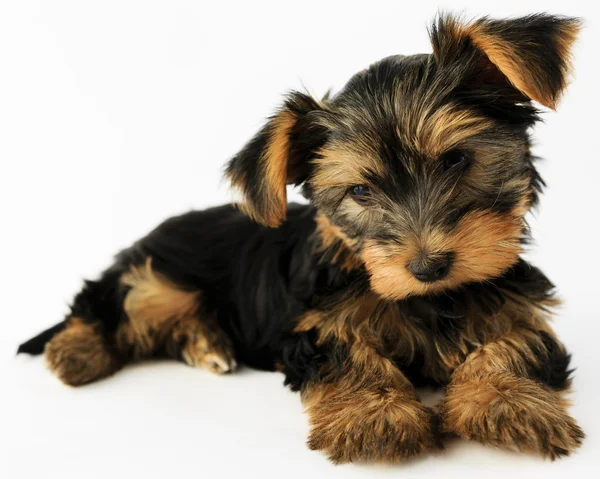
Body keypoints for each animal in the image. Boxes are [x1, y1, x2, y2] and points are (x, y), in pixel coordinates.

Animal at [19, 14, 584, 464]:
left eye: (455, 160)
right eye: (361, 191)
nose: (428, 268)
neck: (431, 299)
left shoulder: (520, 305)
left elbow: (514, 342)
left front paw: (505, 400)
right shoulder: (311, 325)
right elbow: (349, 353)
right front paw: (375, 417)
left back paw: (208, 345)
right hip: (159, 275)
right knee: (107, 302)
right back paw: (76, 353)